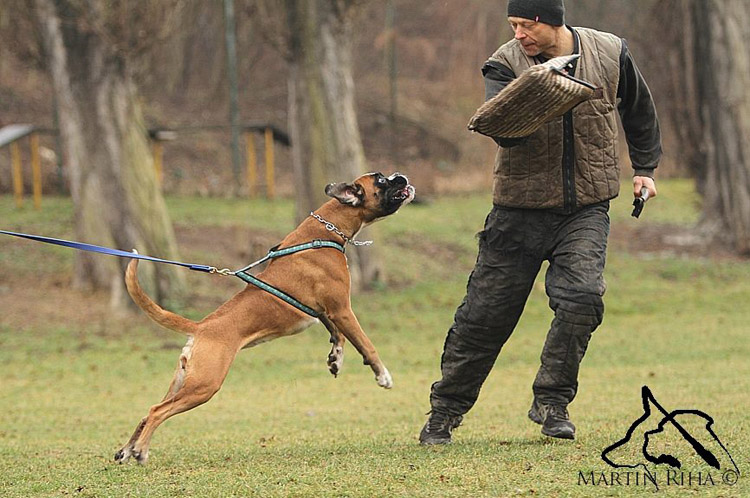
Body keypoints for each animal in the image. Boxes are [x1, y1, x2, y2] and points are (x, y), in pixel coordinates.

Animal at [116, 171, 418, 462]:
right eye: (381, 180)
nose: (401, 177)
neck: (325, 230)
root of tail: (201, 326)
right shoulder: (343, 309)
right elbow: (366, 343)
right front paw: (383, 375)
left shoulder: (325, 311)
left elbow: (337, 334)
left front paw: (336, 358)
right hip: (204, 385)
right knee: (157, 411)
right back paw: (140, 451)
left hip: (183, 381)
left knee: (148, 411)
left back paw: (127, 450)